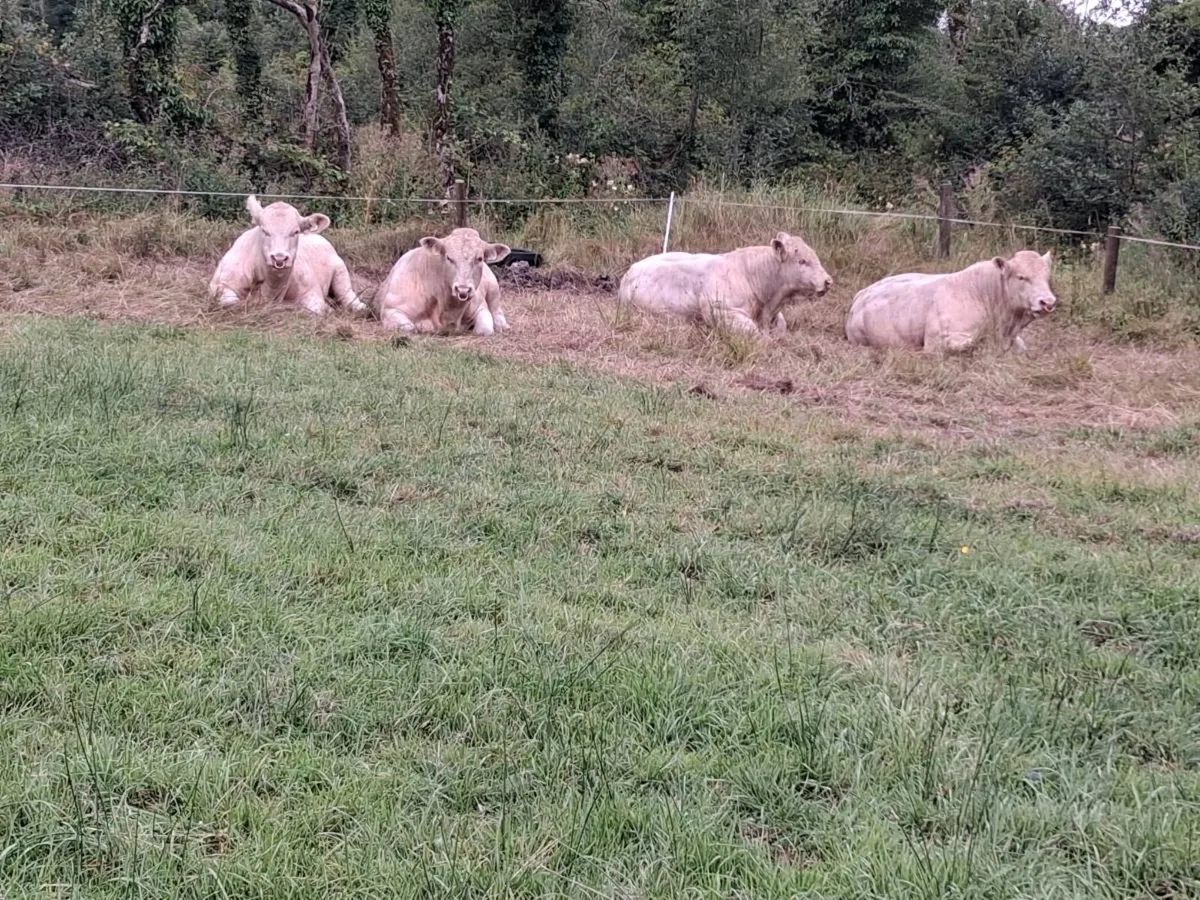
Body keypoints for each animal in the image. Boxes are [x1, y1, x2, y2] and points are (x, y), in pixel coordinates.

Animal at [209, 195, 366, 316]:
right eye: (264, 231)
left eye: (295, 232)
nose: (279, 258)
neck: (270, 289)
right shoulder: (221, 286)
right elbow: (231, 303)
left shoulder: (312, 292)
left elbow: (315, 309)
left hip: (341, 272)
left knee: (347, 295)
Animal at [375, 227, 512, 335]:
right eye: (449, 258)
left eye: (479, 258)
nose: (463, 289)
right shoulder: (390, 310)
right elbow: (410, 328)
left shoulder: (480, 307)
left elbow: (484, 330)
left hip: (493, 287)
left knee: (496, 310)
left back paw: (502, 326)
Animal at [617, 232, 834, 335]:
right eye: (802, 261)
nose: (828, 281)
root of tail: (630, 270)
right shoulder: (720, 311)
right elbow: (753, 332)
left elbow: (782, 326)